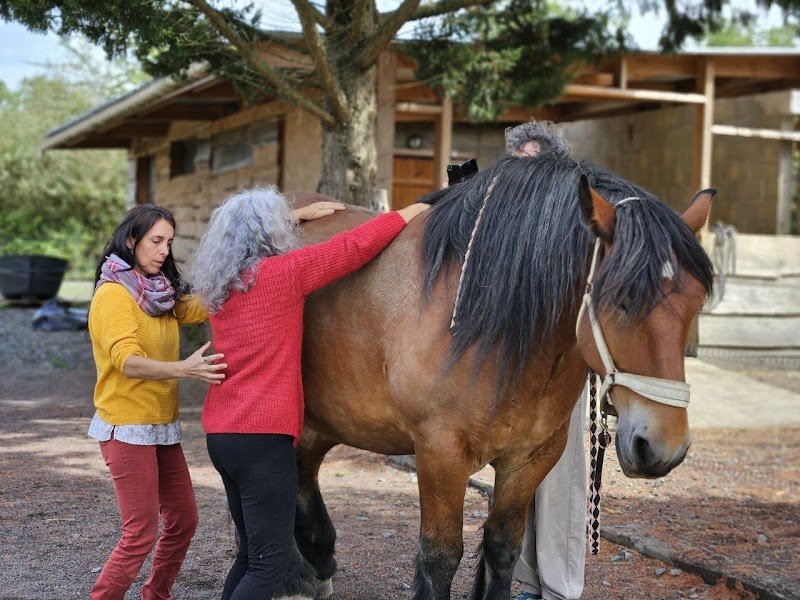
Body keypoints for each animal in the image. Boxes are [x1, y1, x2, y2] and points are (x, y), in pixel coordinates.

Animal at [282, 152, 715, 600]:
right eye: (623, 299)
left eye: (696, 302)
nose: (664, 447)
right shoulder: (439, 452)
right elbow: (440, 557)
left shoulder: (532, 458)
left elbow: (503, 548)